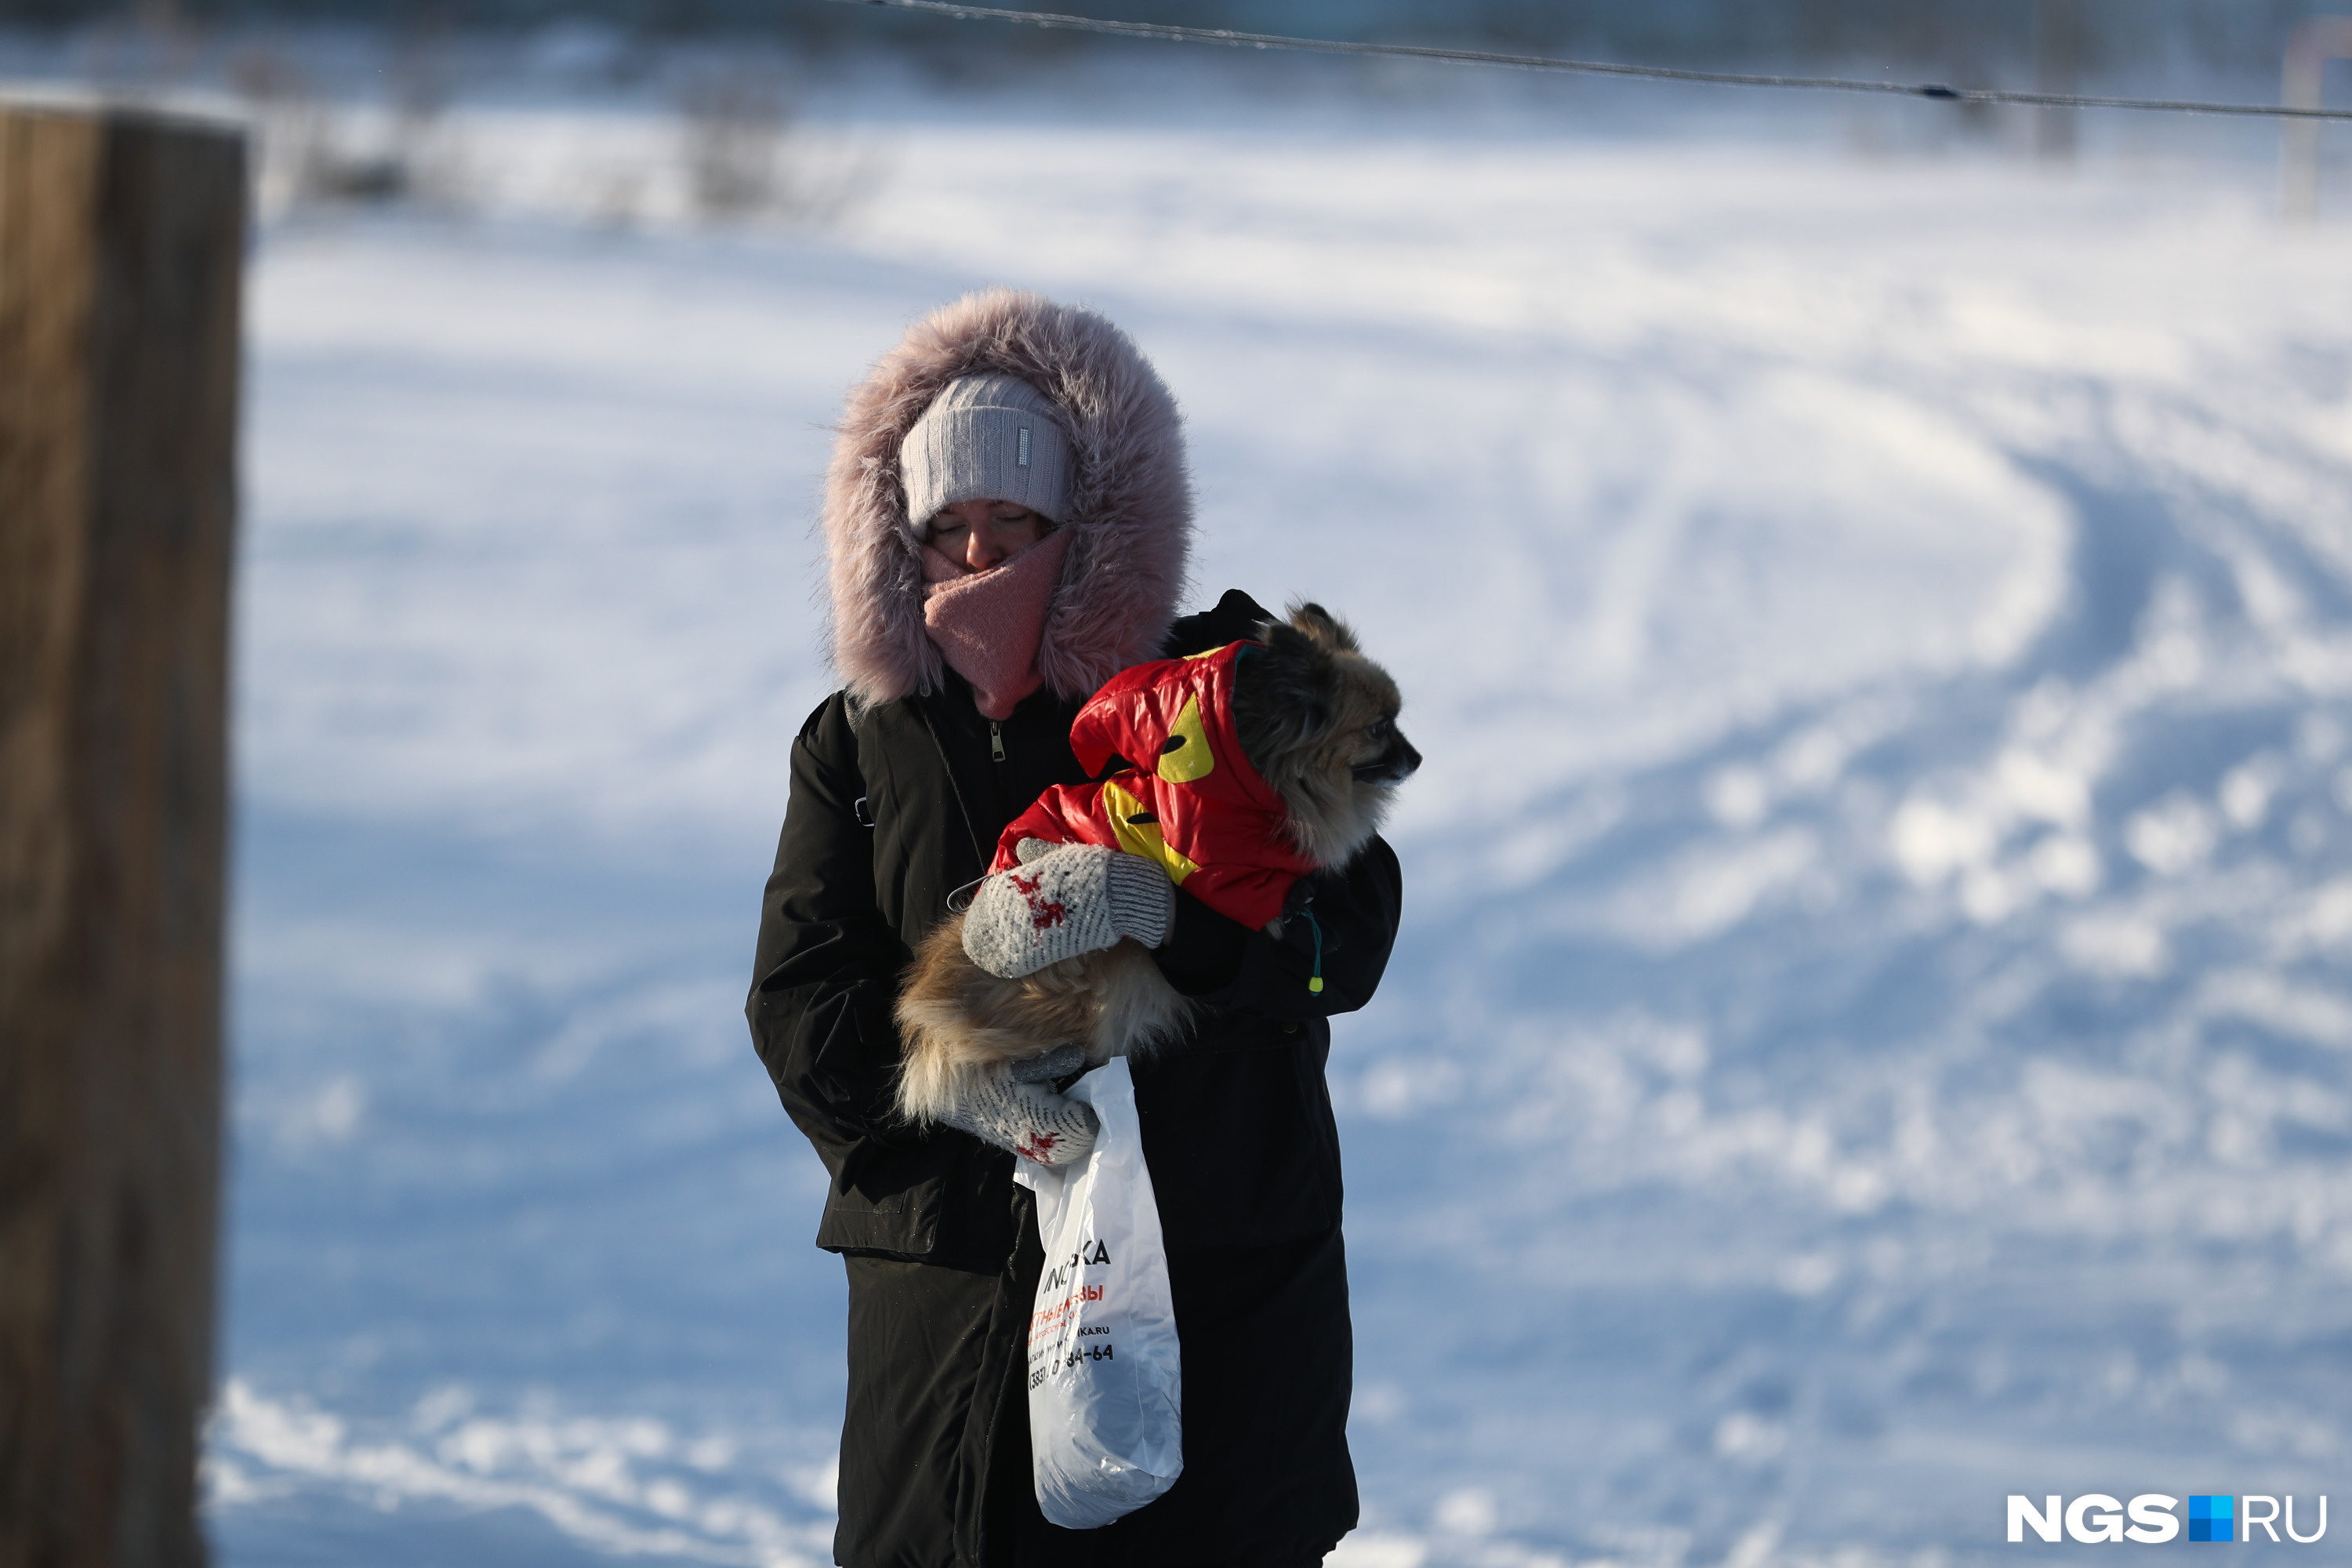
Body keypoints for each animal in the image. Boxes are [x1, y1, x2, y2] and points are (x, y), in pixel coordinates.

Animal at [894, 606, 1411, 1128]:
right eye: (1378, 728)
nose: (1418, 757)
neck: (1257, 784)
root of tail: (931, 997)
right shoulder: (1216, 872)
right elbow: (1263, 904)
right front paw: (1299, 915)